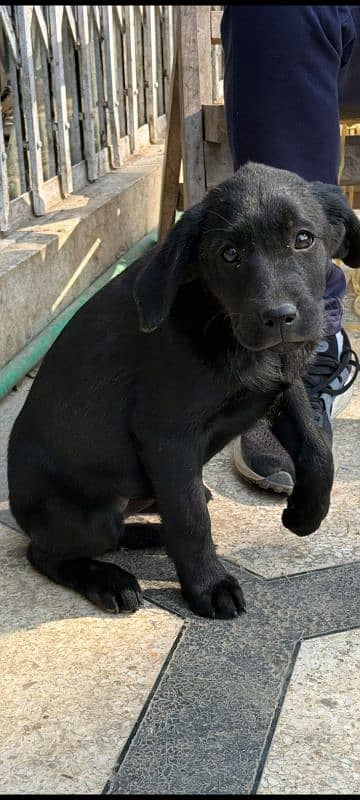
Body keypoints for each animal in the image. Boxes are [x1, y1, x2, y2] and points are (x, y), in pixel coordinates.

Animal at [7, 162, 360, 620]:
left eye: (303, 239)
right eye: (229, 254)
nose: (278, 318)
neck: (222, 326)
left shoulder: (282, 387)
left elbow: (318, 451)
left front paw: (306, 514)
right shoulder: (167, 437)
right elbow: (191, 519)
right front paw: (209, 587)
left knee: (124, 530)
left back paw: (151, 534)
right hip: (89, 517)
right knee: (47, 552)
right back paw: (110, 580)